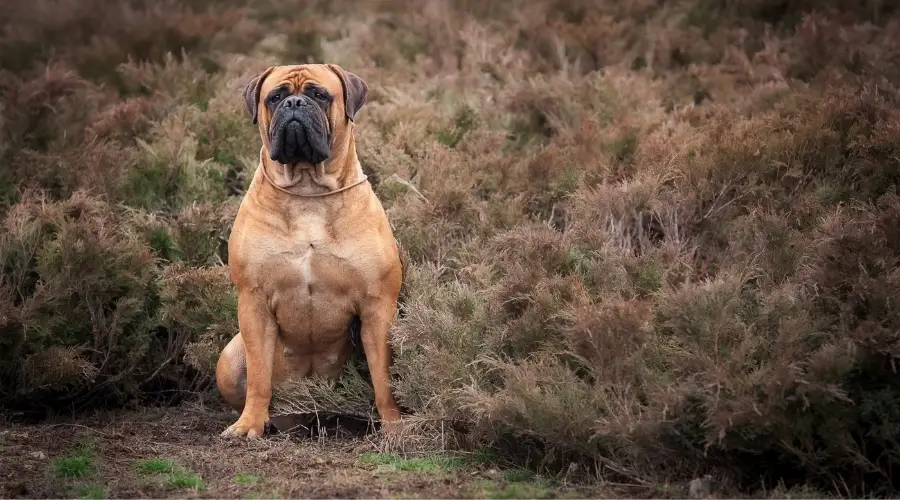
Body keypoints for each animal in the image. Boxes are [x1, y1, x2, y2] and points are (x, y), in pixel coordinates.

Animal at [214, 63, 400, 438]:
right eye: (275, 97)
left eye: (318, 94)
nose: (295, 103)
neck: (308, 191)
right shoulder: (253, 301)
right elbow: (258, 376)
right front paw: (250, 424)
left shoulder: (378, 306)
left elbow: (383, 378)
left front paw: (394, 423)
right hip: (228, 359)